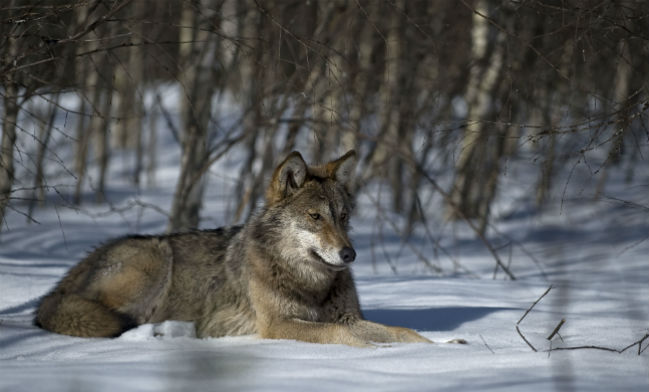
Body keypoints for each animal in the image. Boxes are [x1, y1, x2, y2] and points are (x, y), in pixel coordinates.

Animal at [35, 150, 438, 346]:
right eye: (315, 217)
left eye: (343, 216)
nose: (349, 255)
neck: (311, 283)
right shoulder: (278, 325)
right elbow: (343, 336)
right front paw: (371, 354)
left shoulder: (347, 317)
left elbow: (402, 332)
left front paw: (439, 349)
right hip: (155, 261)